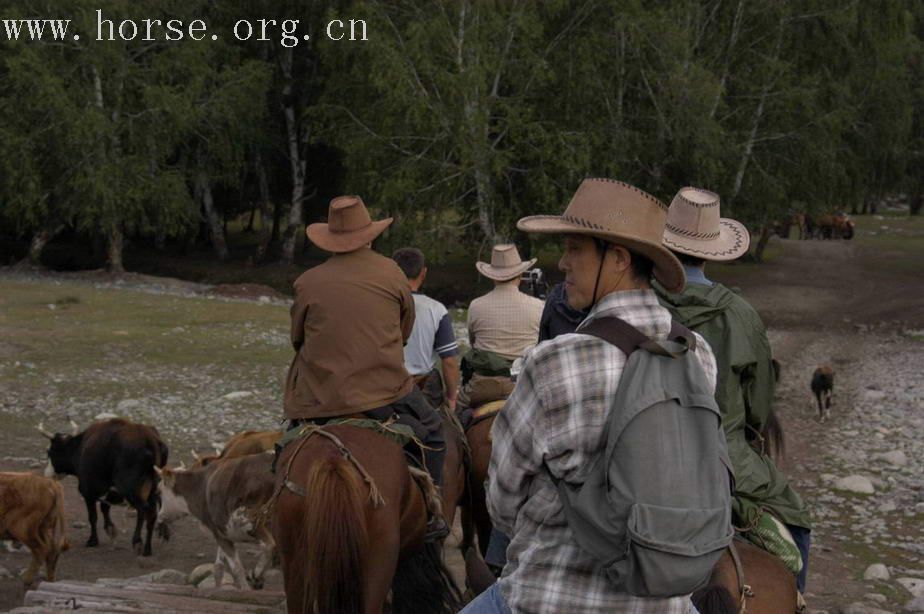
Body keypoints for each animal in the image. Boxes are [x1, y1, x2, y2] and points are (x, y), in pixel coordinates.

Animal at [40, 418, 168, 560]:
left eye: (49, 451)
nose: (47, 474)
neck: (80, 448)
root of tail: (150, 439)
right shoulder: (107, 491)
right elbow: (104, 507)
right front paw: (110, 529)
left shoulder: (88, 492)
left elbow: (93, 516)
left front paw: (92, 540)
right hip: (153, 488)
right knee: (152, 514)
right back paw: (148, 549)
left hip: (130, 488)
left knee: (143, 508)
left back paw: (137, 541)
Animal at [155, 452, 276, 592]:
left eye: (159, 491)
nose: (159, 516)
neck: (200, 486)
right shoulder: (223, 533)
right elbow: (219, 567)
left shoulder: (219, 534)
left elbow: (237, 568)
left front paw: (246, 588)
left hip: (250, 520)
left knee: (270, 545)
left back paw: (257, 574)